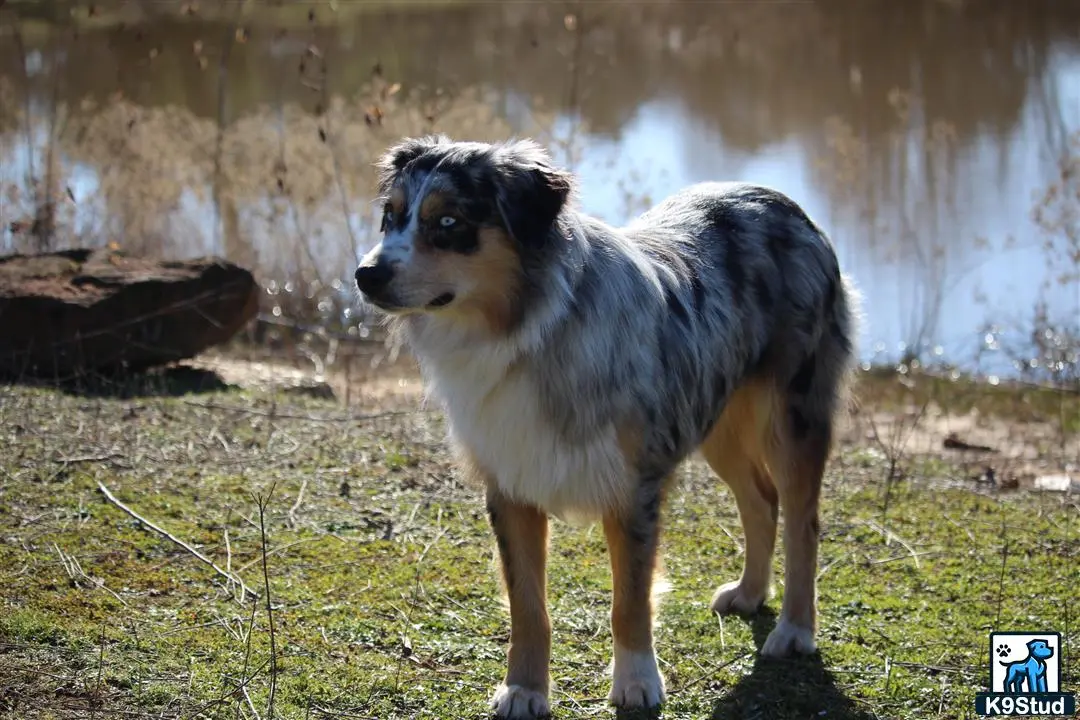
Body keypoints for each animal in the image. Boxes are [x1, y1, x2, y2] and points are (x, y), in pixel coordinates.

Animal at [354, 136, 859, 720]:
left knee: (803, 520)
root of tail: (783, 202)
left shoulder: (634, 487)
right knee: (760, 500)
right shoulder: (510, 483)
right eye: (390, 217)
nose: (366, 274)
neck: (533, 332)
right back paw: (750, 593)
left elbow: (630, 599)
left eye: (448, 222)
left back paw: (795, 630)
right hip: (719, 423)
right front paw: (524, 689)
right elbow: (528, 606)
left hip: (791, 419)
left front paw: (637, 682)